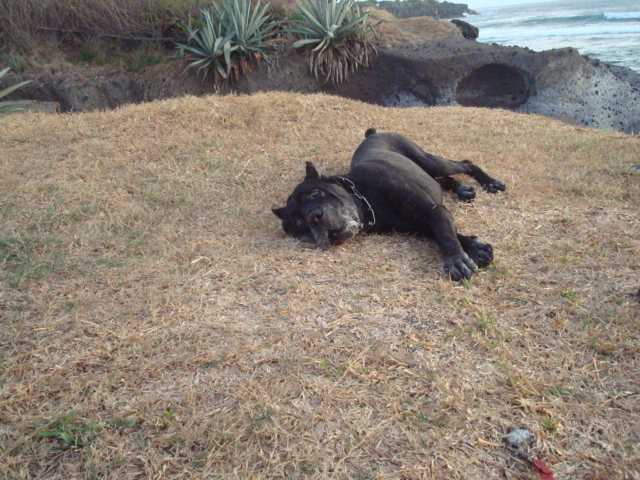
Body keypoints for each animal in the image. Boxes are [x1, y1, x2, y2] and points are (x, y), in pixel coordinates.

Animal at [272, 131, 508, 282]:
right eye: (299, 224)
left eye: (314, 193)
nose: (315, 218)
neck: (366, 199)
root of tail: (373, 134)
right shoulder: (421, 225)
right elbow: (446, 233)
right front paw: (475, 248)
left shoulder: (431, 211)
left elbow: (446, 233)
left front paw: (457, 259)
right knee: (443, 180)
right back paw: (463, 189)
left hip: (428, 160)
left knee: (464, 164)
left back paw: (490, 182)